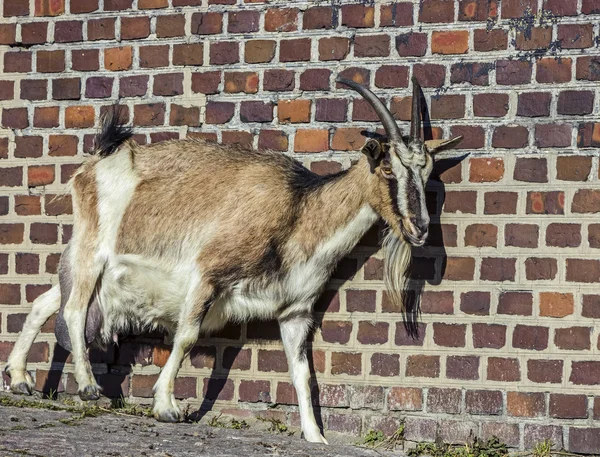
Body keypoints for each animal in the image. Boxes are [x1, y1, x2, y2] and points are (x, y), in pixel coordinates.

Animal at [4, 77, 462, 442]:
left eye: (427, 172)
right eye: (387, 169)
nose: (420, 229)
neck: (300, 211)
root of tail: (96, 162)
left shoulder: (295, 312)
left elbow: (302, 374)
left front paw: (316, 437)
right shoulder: (209, 272)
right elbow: (186, 337)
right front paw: (166, 406)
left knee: (45, 302)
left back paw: (21, 378)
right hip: (92, 250)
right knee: (74, 310)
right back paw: (86, 387)